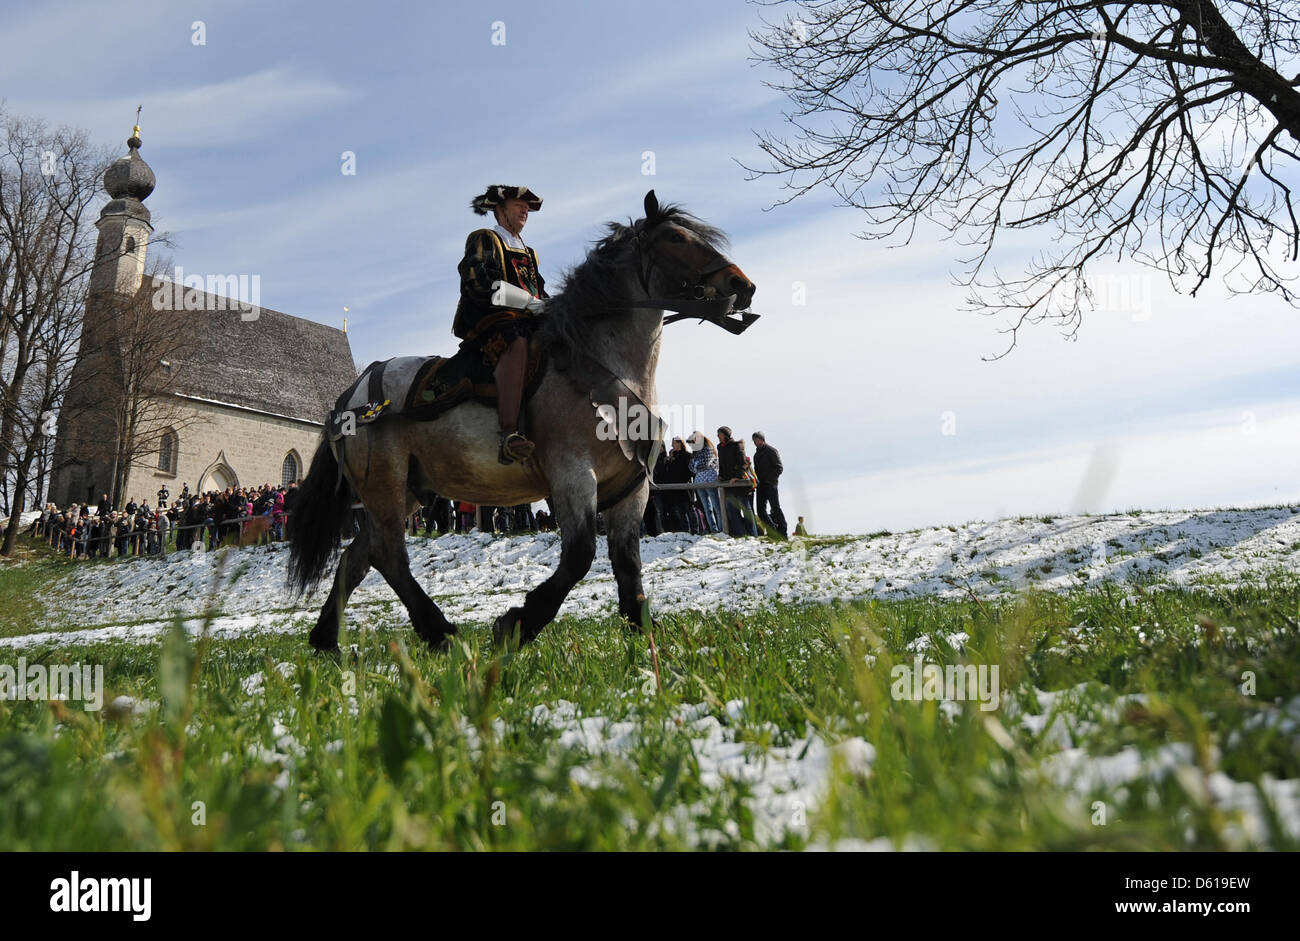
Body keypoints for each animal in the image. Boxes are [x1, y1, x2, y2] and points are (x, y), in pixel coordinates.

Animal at [284, 189, 754, 647]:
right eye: (675, 238)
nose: (742, 285)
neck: (600, 364)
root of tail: (353, 395)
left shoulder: (631, 486)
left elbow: (627, 560)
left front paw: (642, 629)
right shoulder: (571, 474)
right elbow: (580, 555)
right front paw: (517, 624)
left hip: (406, 490)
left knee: (357, 557)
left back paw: (327, 641)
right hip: (385, 483)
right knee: (388, 555)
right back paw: (440, 633)